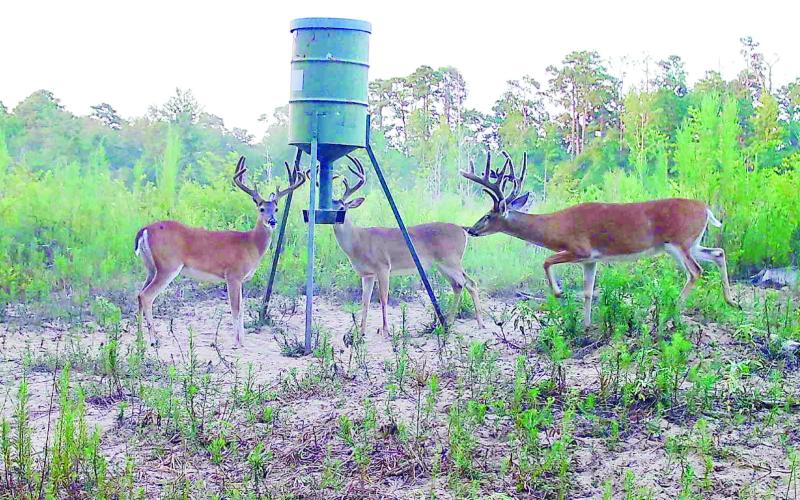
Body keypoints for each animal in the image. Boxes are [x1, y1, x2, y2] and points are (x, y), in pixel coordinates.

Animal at [134, 156, 305, 347]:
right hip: (168, 265)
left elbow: (242, 308)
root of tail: (144, 230)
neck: (250, 244)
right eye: (261, 209)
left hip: (151, 267)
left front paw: (242, 341)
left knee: (139, 294)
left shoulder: (240, 280)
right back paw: (153, 340)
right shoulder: (233, 275)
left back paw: (139, 340)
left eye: (275, 209)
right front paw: (237, 343)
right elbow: (235, 309)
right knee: (146, 296)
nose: (273, 221)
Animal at [317, 155, 485, 336]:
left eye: (342, 207)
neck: (358, 241)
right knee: (458, 286)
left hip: (451, 260)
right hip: (442, 265)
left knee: (470, 283)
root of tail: (462, 229)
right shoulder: (367, 274)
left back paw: (478, 323)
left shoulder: (383, 266)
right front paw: (360, 332)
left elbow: (383, 298)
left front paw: (385, 330)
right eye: (329, 206)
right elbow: (365, 302)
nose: (332, 218)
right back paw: (451, 322)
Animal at [461, 151, 736, 328]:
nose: (471, 230)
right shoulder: (591, 259)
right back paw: (731, 301)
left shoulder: (579, 249)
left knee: (696, 271)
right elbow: (588, 291)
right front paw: (586, 325)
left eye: (487, 216)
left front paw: (559, 292)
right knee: (718, 253)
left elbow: (547, 261)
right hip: (692, 242)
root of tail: (706, 209)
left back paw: (672, 312)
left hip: (679, 243)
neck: (557, 226)